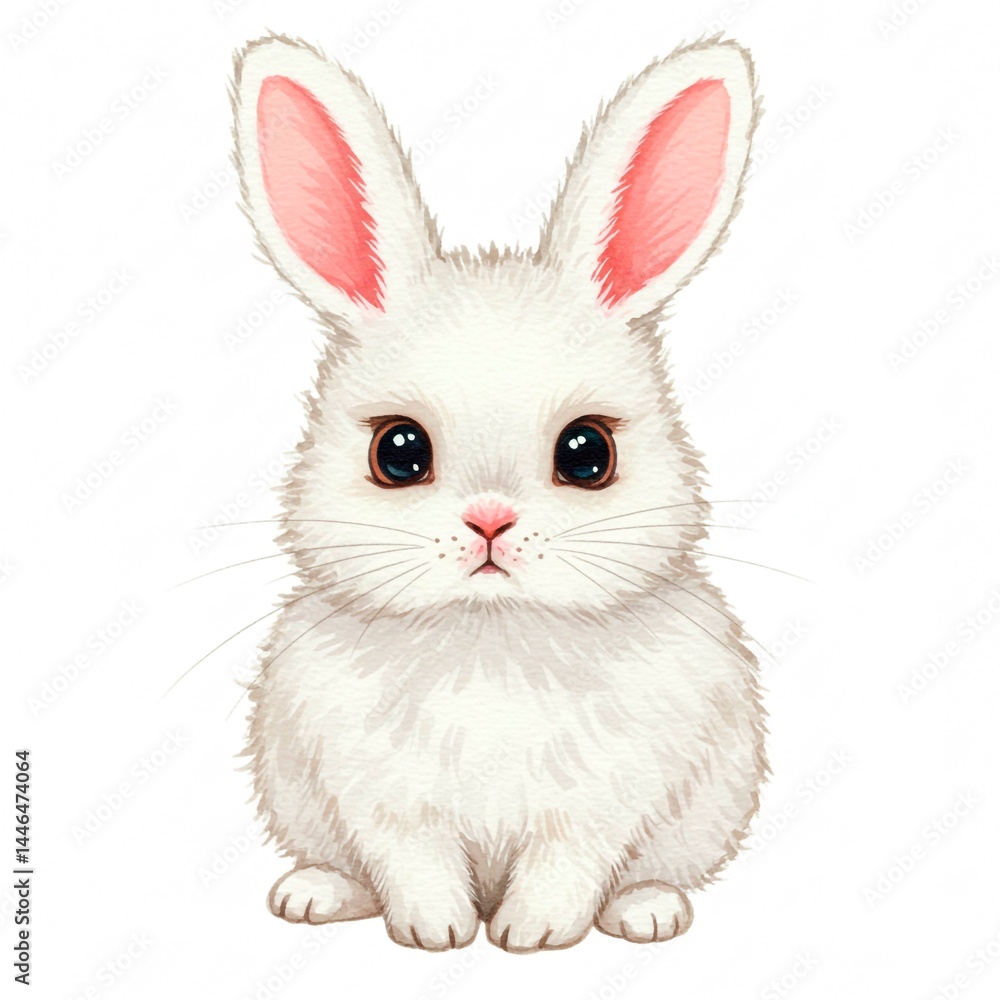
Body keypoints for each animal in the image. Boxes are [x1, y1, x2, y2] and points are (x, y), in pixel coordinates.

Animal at [230, 32, 767, 953]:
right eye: (398, 451)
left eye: (587, 453)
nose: (490, 523)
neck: (490, 640)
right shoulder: (384, 804)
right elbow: (414, 864)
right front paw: (437, 933)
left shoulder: (597, 808)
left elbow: (565, 865)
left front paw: (532, 936)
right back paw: (312, 894)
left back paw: (648, 911)